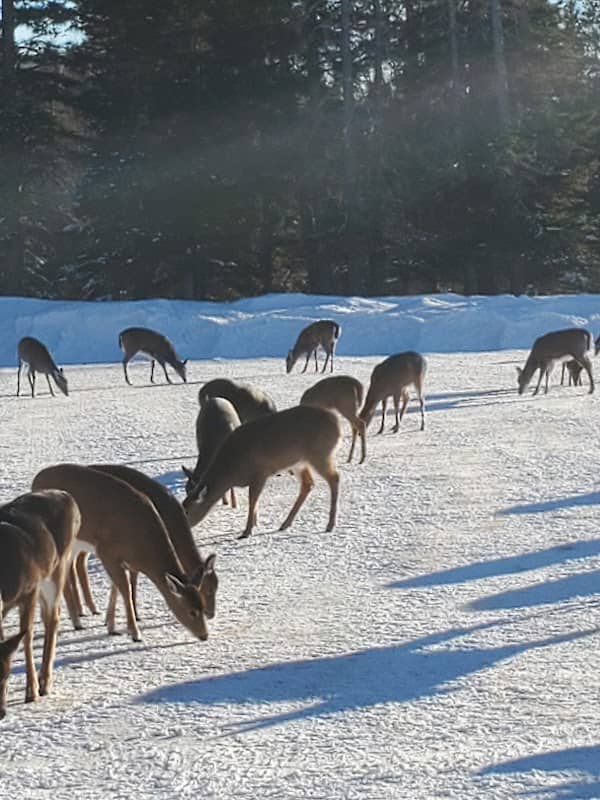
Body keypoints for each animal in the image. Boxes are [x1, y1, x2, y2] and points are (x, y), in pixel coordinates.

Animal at [0, 489, 80, 719]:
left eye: (6, 675)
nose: (1, 713)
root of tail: (67, 495)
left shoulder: (31, 588)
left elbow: (26, 637)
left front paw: (32, 691)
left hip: (58, 567)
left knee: (53, 617)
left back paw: (45, 683)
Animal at [32, 464, 211, 642]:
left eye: (203, 604)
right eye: (191, 611)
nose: (204, 635)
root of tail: (36, 480)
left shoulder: (120, 560)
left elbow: (115, 588)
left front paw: (111, 626)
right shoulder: (107, 552)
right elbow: (124, 590)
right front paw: (135, 633)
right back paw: (74, 622)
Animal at [183, 405, 342, 539]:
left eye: (188, 511)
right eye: (182, 505)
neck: (233, 471)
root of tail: (338, 424)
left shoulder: (260, 472)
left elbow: (252, 500)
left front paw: (247, 531)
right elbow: (255, 500)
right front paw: (254, 524)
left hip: (321, 453)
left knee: (334, 478)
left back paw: (330, 525)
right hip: (300, 463)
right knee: (308, 484)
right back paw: (285, 524)